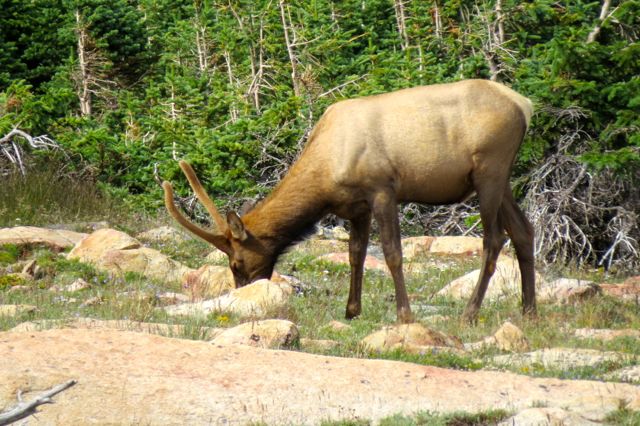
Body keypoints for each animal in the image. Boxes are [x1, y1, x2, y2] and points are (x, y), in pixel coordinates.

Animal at [164, 79, 536, 322]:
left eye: (237, 263)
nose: (240, 293)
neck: (325, 176)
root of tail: (524, 105)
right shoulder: (356, 207)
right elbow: (355, 255)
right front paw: (351, 310)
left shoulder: (383, 189)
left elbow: (392, 253)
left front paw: (404, 315)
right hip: (500, 179)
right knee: (523, 230)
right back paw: (529, 310)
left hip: (489, 171)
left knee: (494, 239)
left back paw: (471, 313)